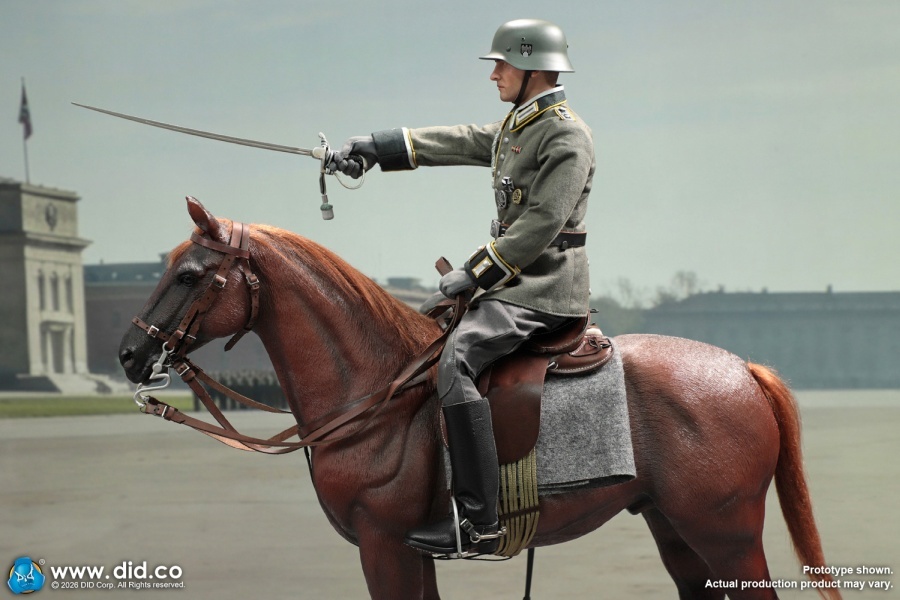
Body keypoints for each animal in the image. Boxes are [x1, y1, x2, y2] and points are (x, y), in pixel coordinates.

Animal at [119, 198, 841, 600]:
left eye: (189, 274)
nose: (129, 355)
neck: (372, 389)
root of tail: (742, 368)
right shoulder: (408, 553)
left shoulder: (383, 545)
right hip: (674, 528)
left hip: (727, 533)